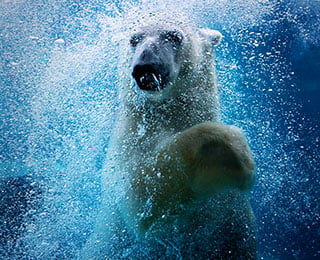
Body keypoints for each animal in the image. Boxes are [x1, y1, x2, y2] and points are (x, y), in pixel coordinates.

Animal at [81, 18, 256, 260]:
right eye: (134, 39)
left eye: (174, 36)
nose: (146, 66)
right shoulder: (126, 144)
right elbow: (139, 198)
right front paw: (233, 152)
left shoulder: (232, 219)